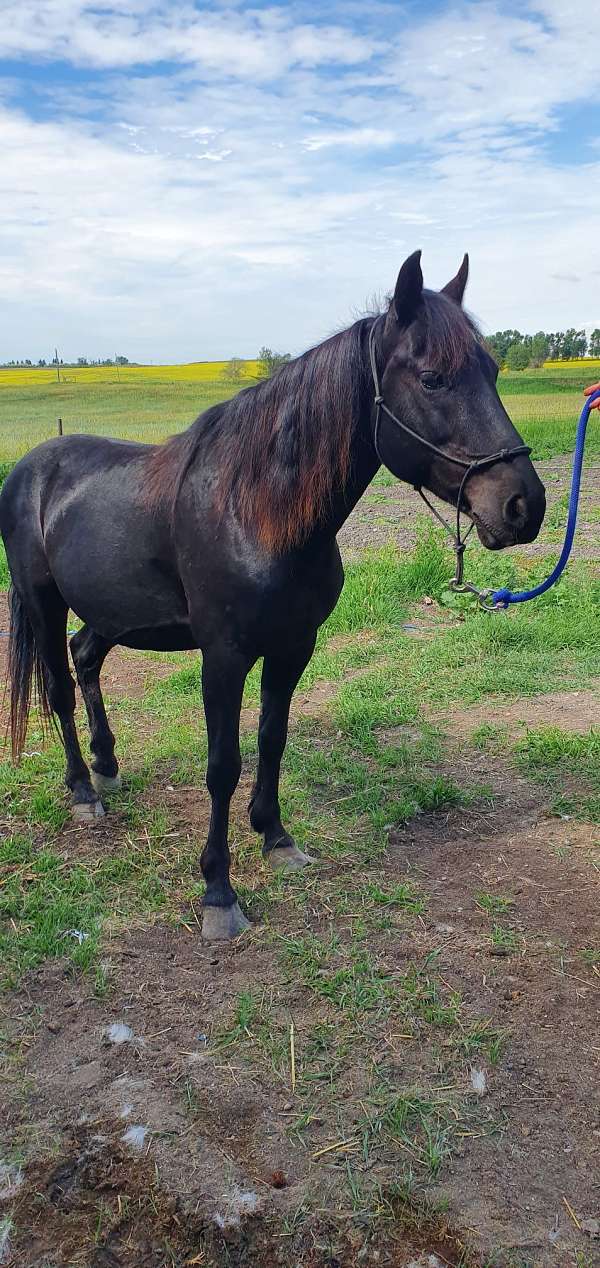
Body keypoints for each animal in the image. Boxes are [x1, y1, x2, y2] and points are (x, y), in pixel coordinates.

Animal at [0, 251, 546, 940]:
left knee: (85, 657)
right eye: (433, 379)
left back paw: (107, 766)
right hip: (42, 601)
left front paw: (277, 837)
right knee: (58, 686)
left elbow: (272, 738)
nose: (523, 506)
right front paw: (218, 891)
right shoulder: (224, 657)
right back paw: (82, 791)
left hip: (113, 611)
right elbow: (223, 764)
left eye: (494, 372)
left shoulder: (293, 648)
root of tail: (32, 465)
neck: (258, 509)